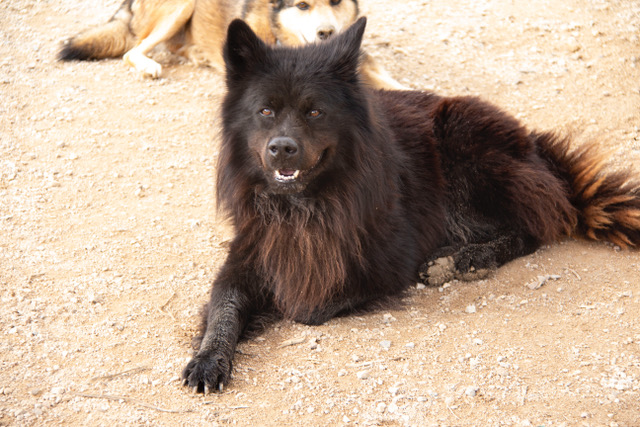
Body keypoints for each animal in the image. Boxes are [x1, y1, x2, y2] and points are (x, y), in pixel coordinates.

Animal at [58, 0, 403, 89]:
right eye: (303, 5)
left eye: (335, 1)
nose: (327, 33)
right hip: (179, 6)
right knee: (134, 50)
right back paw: (148, 65)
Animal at [180, 17, 640, 393]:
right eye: (265, 111)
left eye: (314, 112)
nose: (282, 149)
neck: (306, 204)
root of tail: (534, 144)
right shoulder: (246, 256)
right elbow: (224, 308)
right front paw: (208, 359)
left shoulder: (385, 264)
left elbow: (308, 304)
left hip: (462, 143)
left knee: (531, 228)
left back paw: (464, 260)